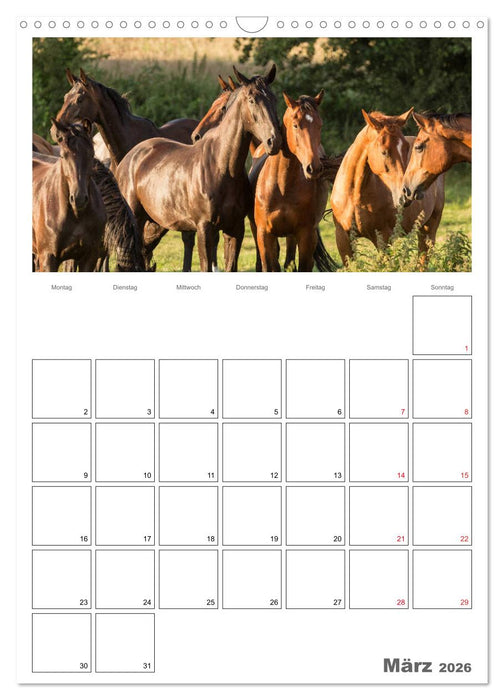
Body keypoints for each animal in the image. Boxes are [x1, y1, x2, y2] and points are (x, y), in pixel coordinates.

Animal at [115, 65, 282, 272]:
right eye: (252, 99)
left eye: (274, 99)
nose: (274, 141)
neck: (222, 167)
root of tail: (128, 159)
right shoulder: (204, 229)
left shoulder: (235, 229)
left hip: (153, 224)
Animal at [254, 91, 329, 271]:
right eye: (295, 125)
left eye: (320, 125)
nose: (314, 168)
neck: (282, 187)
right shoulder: (264, 235)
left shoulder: (306, 235)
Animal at [330, 109, 445, 264]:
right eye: (384, 152)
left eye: (407, 148)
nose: (405, 195)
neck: (354, 197)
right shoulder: (343, 239)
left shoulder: (383, 238)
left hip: (429, 229)